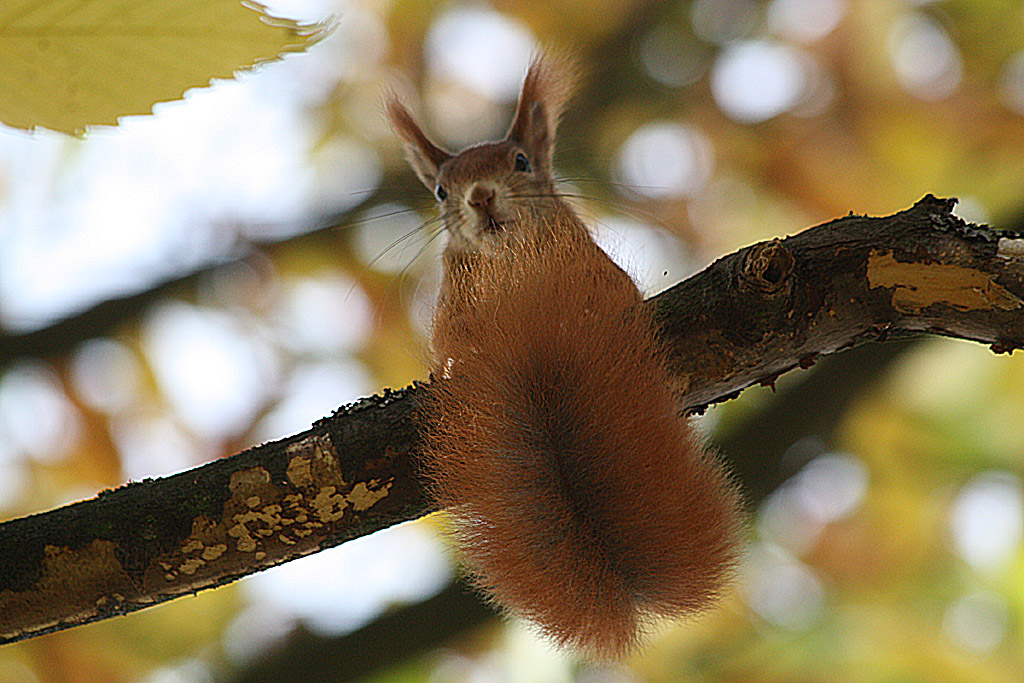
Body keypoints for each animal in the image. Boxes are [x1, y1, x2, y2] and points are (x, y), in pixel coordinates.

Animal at [385, 50, 745, 659]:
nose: (480, 197)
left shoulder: (596, 271)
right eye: (439, 191)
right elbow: (453, 349)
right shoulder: (455, 311)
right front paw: (454, 369)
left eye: (521, 161)